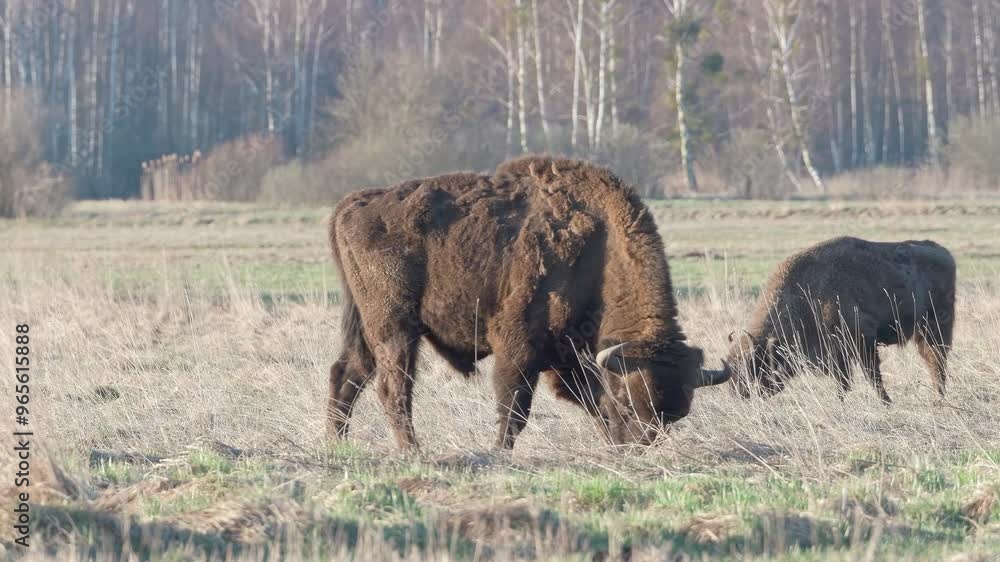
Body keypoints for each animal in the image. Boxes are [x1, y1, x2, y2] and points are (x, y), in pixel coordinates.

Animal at [326, 156, 730, 451]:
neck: (601, 248)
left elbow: (592, 400)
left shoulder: (570, 354)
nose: (637, 446)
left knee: (346, 374)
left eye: (674, 416)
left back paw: (338, 443)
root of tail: (352, 203)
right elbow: (515, 408)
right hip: (395, 328)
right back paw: (413, 451)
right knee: (393, 387)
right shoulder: (520, 346)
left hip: (366, 328)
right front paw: (499, 452)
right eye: (630, 402)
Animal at [722, 237, 956, 404]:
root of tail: (944, 253)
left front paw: (886, 403)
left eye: (755, 365)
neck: (807, 293)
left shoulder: (862, 341)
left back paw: (938, 400)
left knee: (937, 361)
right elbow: (843, 381)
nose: (738, 394)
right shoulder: (838, 352)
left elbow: (870, 377)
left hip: (935, 328)